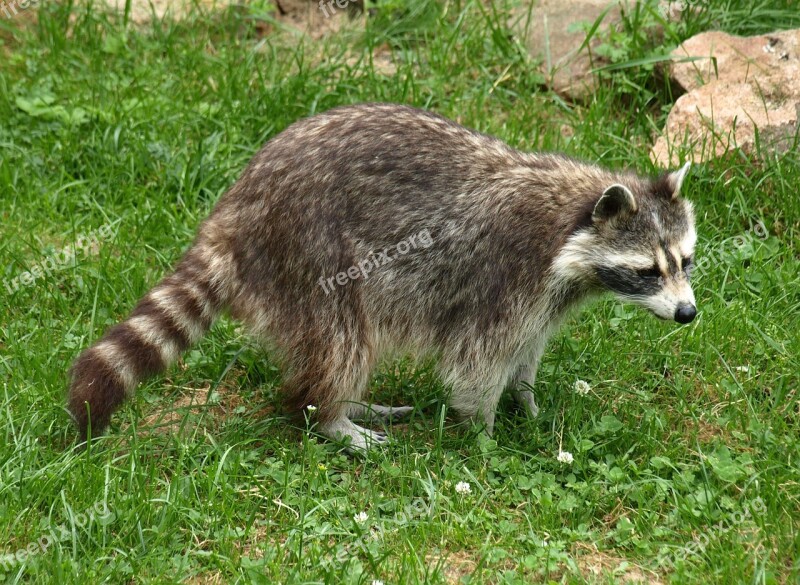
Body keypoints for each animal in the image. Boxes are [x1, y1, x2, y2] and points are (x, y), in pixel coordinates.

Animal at [67, 102, 692, 450]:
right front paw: (484, 432)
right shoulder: (505, 272)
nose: (688, 313)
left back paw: (348, 406)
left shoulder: (548, 295)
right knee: (342, 340)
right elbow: (476, 361)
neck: (571, 219)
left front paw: (529, 401)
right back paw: (331, 416)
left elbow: (528, 349)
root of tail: (238, 204)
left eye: (684, 262)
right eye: (647, 271)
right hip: (311, 253)